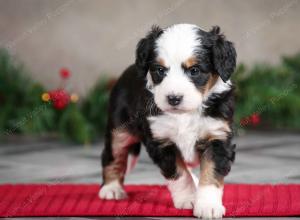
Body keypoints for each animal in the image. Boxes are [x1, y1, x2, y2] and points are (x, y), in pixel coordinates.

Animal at [99, 23, 236, 219]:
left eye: (194, 70)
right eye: (160, 70)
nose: (173, 98)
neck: (185, 114)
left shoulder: (217, 137)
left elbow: (211, 174)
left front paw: (208, 206)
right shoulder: (161, 140)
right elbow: (179, 174)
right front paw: (188, 199)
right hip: (120, 128)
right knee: (113, 155)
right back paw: (111, 189)